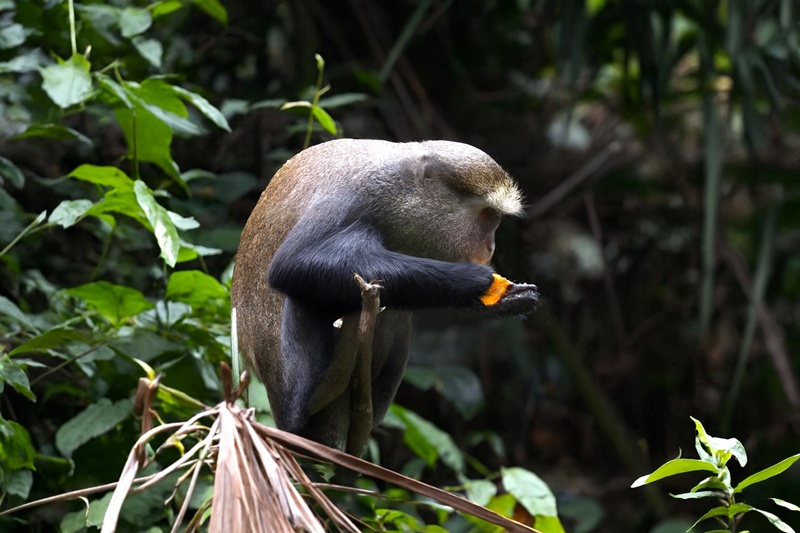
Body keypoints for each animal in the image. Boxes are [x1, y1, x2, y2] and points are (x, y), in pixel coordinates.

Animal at [231, 139, 539, 453]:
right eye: (487, 216)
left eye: (495, 219)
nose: (490, 246)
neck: (400, 188)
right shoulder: (350, 196)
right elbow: (294, 262)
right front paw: (474, 282)